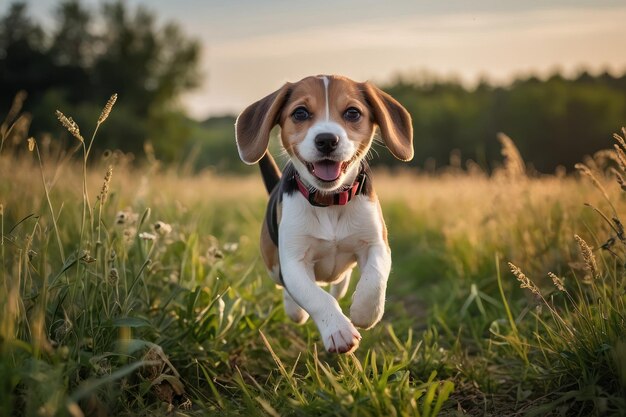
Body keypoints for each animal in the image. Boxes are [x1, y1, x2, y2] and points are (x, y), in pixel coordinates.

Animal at [233, 74, 410, 352]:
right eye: (300, 113)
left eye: (352, 112)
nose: (327, 140)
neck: (330, 200)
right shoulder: (293, 262)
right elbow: (316, 297)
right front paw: (338, 330)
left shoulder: (376, 244)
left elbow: (375, 278)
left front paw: (363, 312)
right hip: (273, 263)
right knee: (289, 288)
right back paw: (295, 309)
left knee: (341, 281)